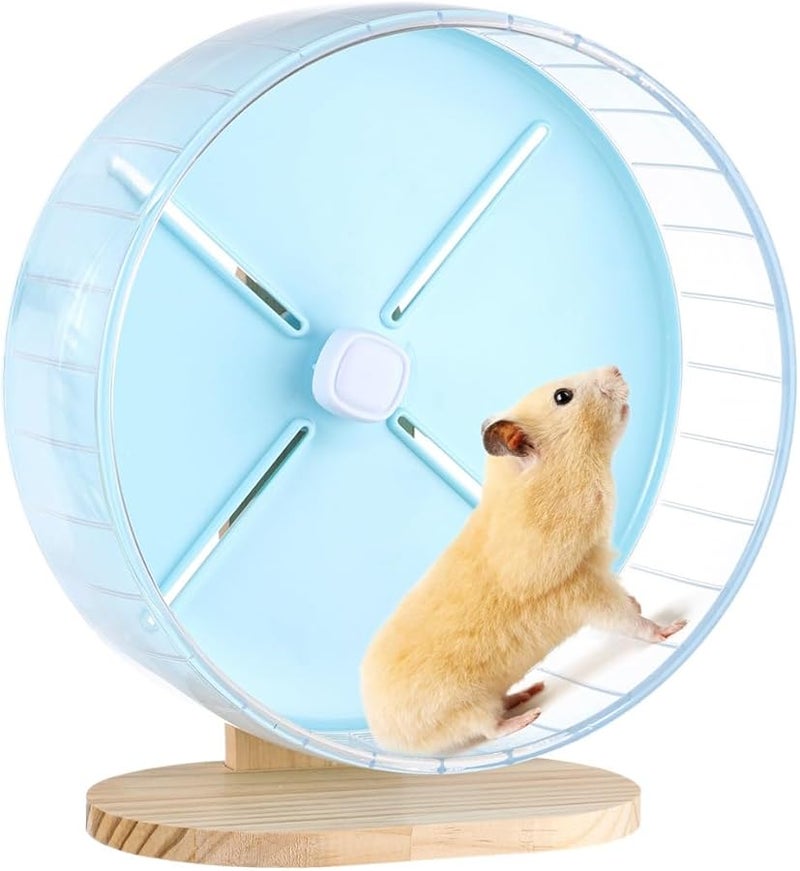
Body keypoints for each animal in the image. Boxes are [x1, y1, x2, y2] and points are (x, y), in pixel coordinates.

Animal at [360, 366, 686, 756]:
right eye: (563, 396)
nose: (616, 368)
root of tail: (382, 735)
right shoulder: (580, 587)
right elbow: (627, 620)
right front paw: (672, 628)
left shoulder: (597, 564)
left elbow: (627, 599)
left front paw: (639, 603)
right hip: (466, 706)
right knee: (489, 729)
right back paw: (527, 712)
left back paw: (527, 692)